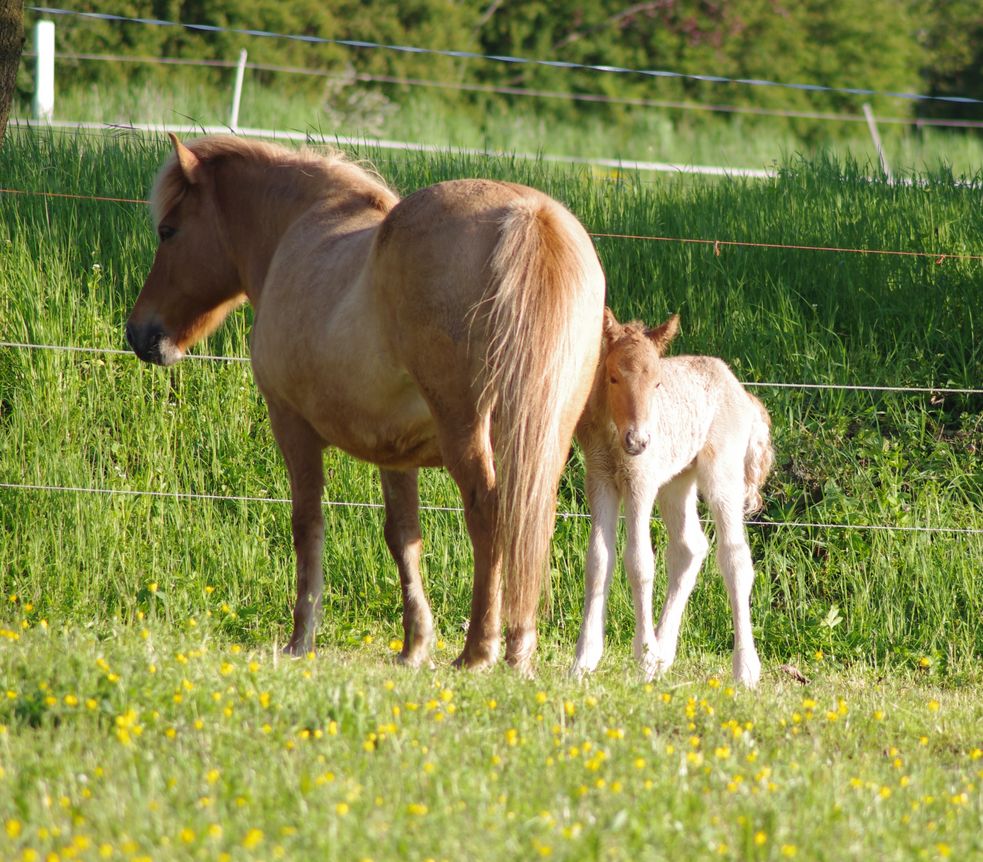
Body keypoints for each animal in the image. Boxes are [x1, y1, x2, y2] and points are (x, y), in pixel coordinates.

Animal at [125, 135, 600, 676]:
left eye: (168, 231)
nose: (141, 333)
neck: (298, 228)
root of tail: (529, 214)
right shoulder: (396, 453)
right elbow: (404, 537)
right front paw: (414, 645)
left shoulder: (291, 425)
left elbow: (307, 525)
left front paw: (301, 639)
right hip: (544, 436)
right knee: (528, 521)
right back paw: (518, 652)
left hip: (466, 432)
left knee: (489, 513)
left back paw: (479, 650)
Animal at [572, 310, 772, 688]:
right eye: (613, 377)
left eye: (657, 383)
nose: (639, 440)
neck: (614, 436)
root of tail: (741, 391)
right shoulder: (600, 479)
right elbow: (598, 561)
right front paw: (584, 661)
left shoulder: (641, 481)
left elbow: (639, 562)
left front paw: (643, 655)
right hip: (677, 482)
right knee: (689, 547)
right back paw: (664, 657)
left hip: (722, 474)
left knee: (735, 557)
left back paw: (745, 669)